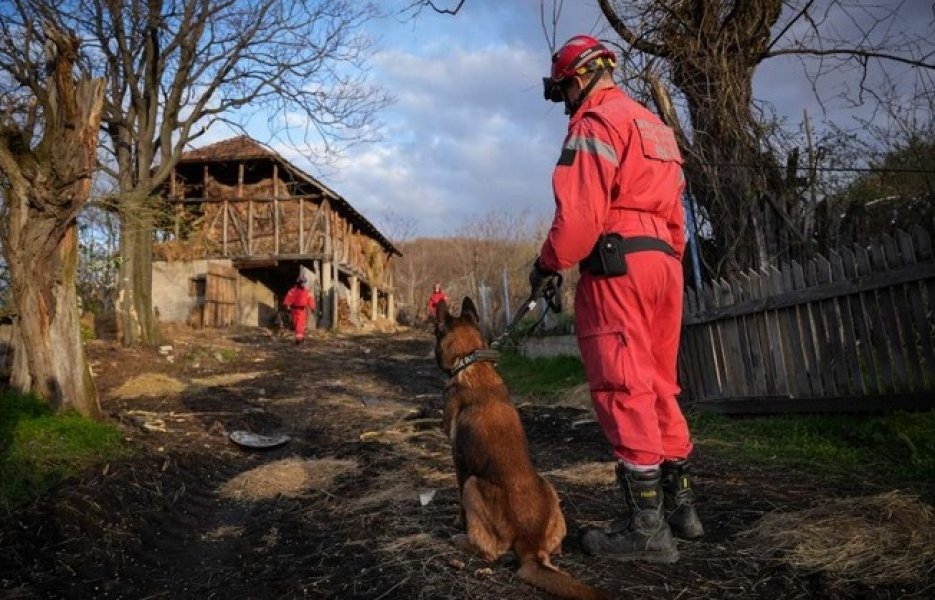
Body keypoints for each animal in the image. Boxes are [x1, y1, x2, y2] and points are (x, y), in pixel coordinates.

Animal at [434, 296, 608, 600]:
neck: (471, 364)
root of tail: (531, 544)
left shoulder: (458, 459)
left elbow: (459, 499)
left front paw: (457, 522)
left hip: (473, 484)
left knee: (490, 552)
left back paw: (460, 539)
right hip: (550, 487)